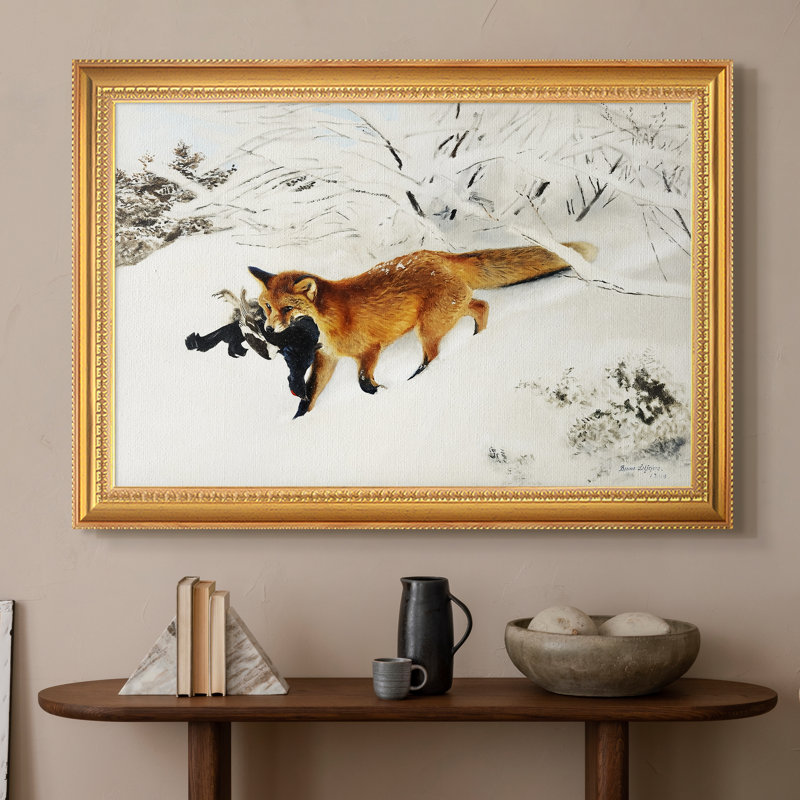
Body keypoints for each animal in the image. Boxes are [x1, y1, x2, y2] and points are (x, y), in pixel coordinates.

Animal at [248, 241, 597, 416]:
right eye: (267, 306)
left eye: (288, 309)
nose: (270, 329)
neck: (330, 319)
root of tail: (439, 255)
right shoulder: (327, 358)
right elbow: (310, 395)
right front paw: (299, 419)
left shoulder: (370, 350)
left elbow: (363, 382)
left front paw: (381, 391)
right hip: (448, 313)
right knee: (482, 305)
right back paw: (478, 338)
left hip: (428, 328)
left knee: (434, 355)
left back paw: (418, 378)